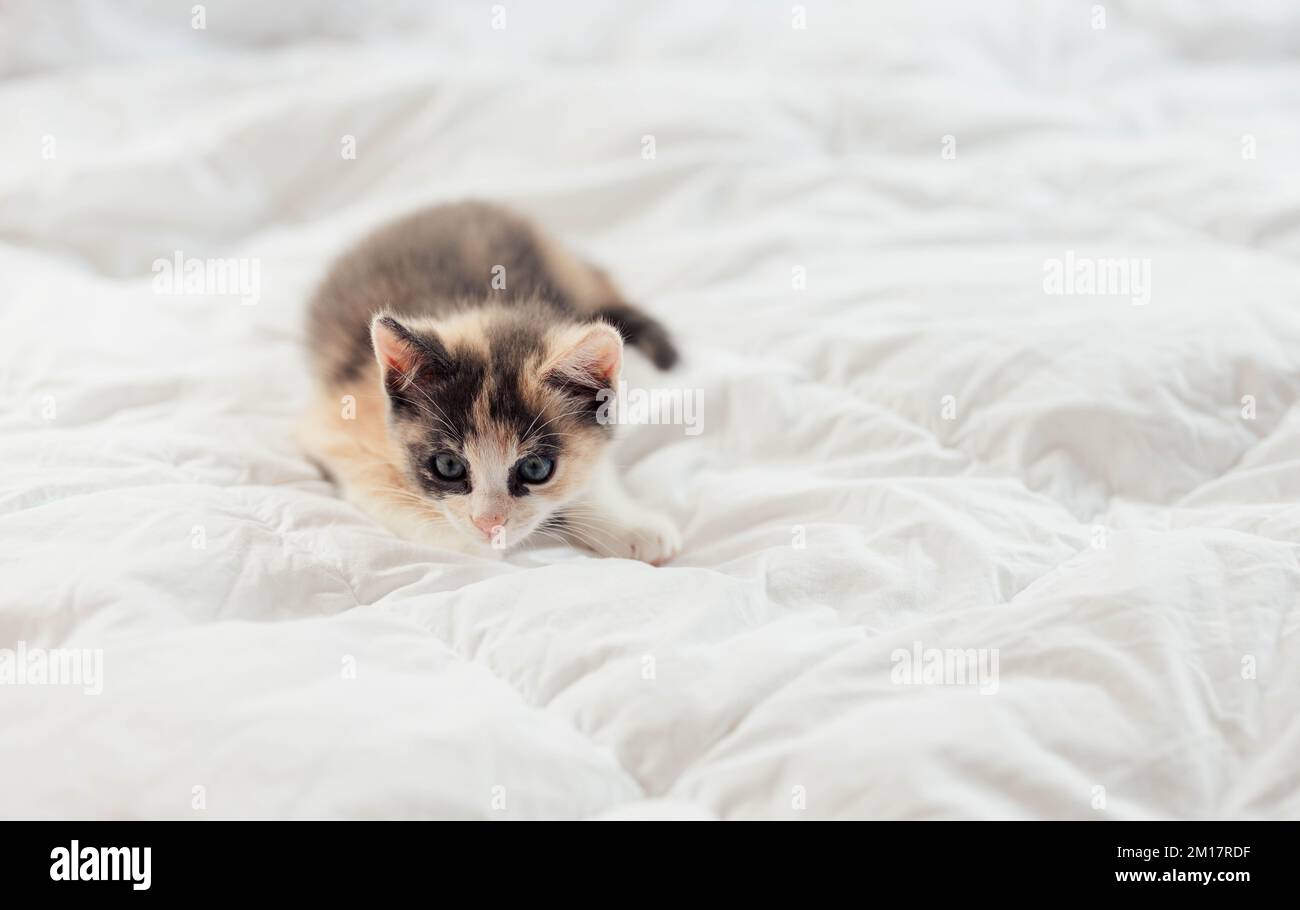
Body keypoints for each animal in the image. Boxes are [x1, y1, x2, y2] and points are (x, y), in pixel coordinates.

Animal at [296, 200, 681, 561]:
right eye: (448, 466)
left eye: (535, 468)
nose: (489, 523)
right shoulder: (337, 422)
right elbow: (377, 486)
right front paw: (466, 545)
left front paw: (629, 524)